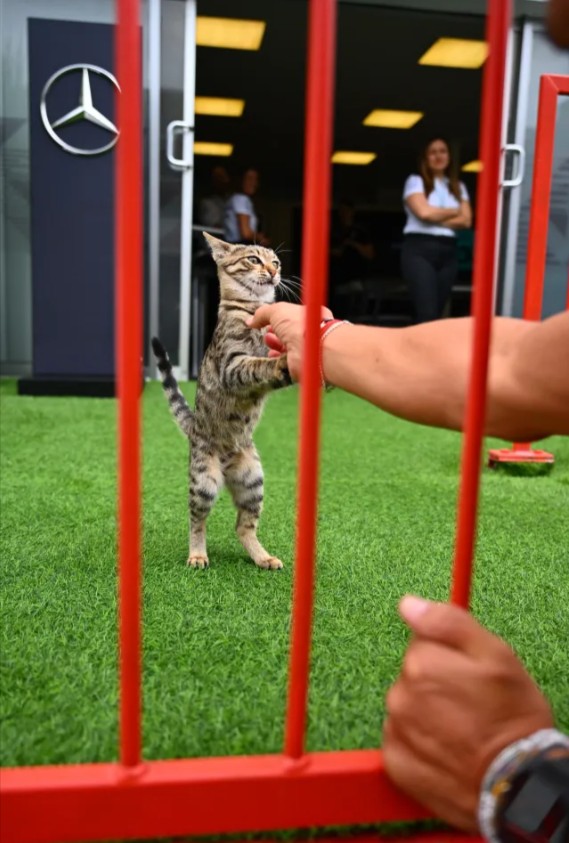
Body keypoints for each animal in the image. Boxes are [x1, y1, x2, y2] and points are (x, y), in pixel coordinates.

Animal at [152, 232, 292, 571]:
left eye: (276, 261)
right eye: (253, 259)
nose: (274, 271)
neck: (252, 309)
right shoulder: (232, 365)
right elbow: (258, 364)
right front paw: (282, 362)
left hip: (253, 480)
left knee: (243, 526)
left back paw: (263, 557)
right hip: (204, 481)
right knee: (196, 521)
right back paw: (197, 554)